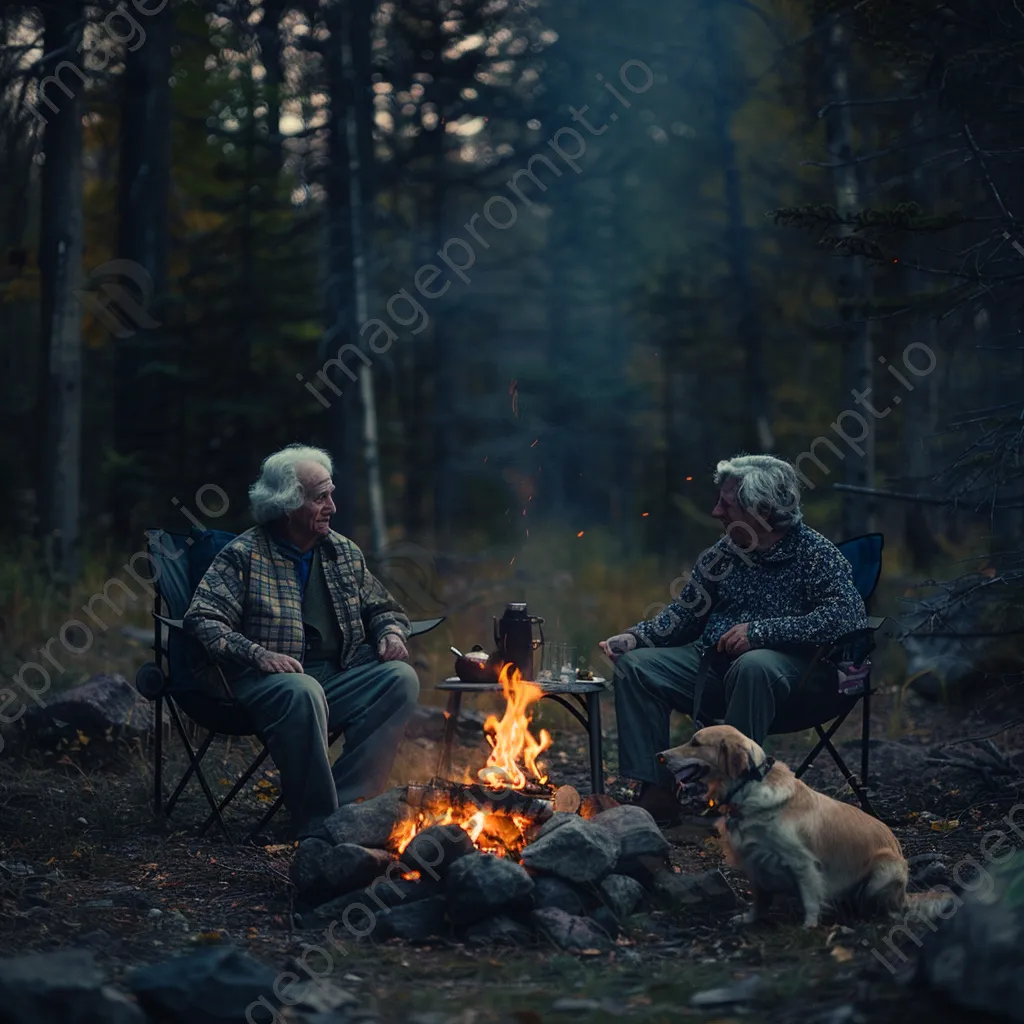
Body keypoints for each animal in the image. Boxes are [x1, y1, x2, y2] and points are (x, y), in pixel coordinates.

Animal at [655, 720, 913, 929]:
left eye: (696, 742)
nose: (660, 755)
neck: (749, 788)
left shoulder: (802, 862)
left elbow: (810, 898)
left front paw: (809, 927)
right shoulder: (753, 860)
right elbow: (759, 899)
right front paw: (750, 919)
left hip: (884, 870)